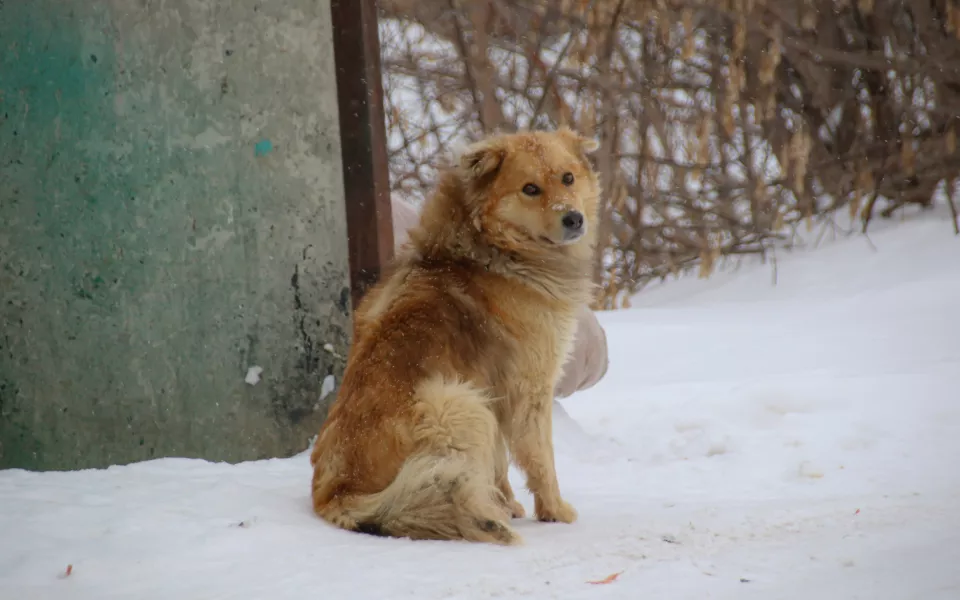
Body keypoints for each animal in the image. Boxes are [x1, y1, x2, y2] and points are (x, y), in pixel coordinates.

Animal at [310, 126, 600, 544]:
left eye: (568, 178)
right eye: (530, 189)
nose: (574, 219)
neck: (491, 249)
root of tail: (337, 494)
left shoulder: (493, 390)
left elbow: (500, 461)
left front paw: (507, 502)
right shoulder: (528, 390)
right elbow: (540, 458)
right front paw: (555, 512)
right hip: (456, 404)